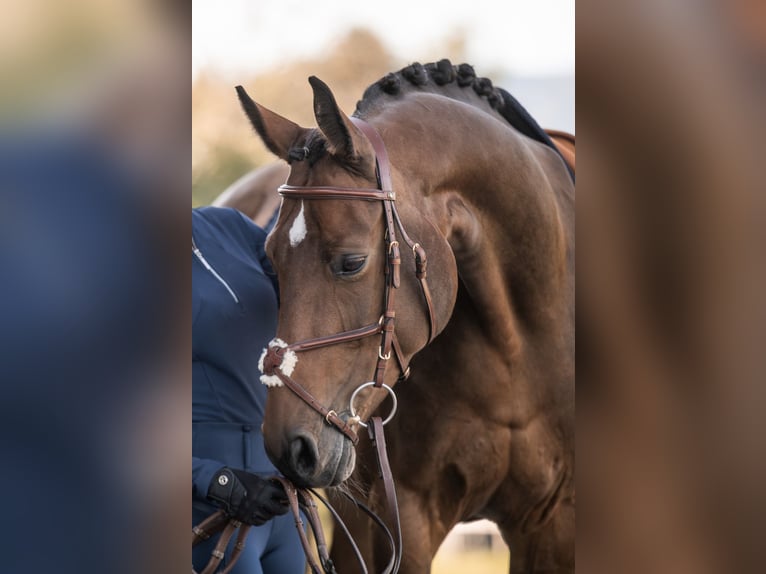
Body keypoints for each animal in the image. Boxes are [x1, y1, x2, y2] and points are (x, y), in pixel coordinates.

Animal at [231, 60, 575, 573]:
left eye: (351, 262)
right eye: (270, 260)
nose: (287, 446)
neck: (514, 348)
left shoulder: (552, 522)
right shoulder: (407, 516)